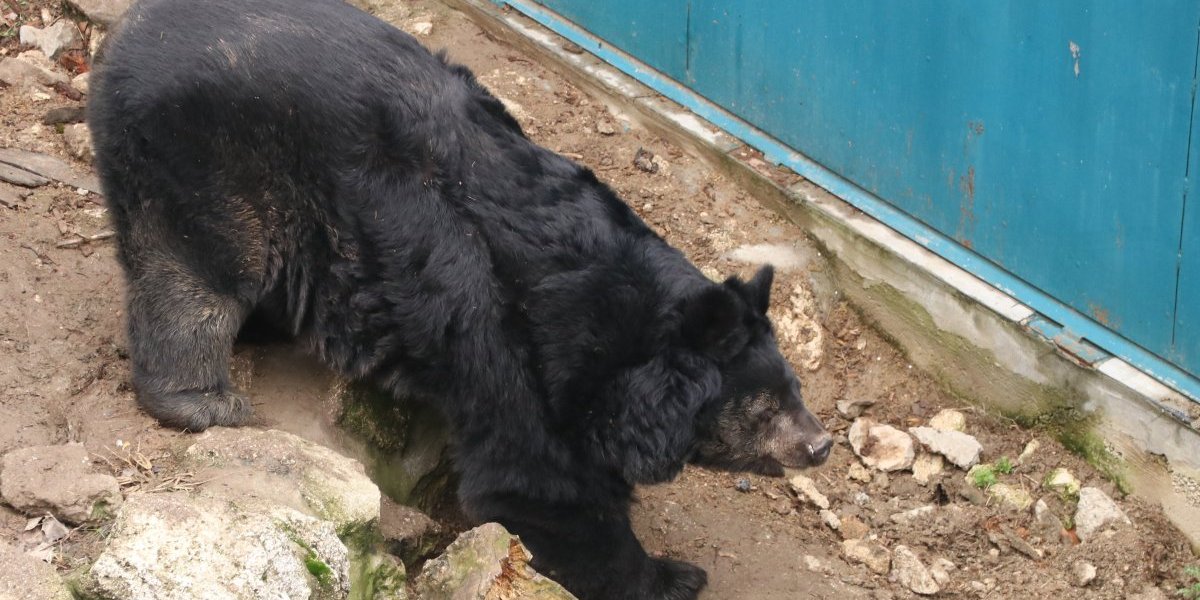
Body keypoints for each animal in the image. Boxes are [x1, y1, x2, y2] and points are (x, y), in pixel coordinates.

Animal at [87, 0, 833, 598]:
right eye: (765, 404)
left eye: (795, 389)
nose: (821, 445)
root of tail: (130, 29)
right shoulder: (515, 342)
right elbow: (538, 483)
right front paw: (670, 574)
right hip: (212, 163)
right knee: (194, 282)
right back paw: (206, 402)